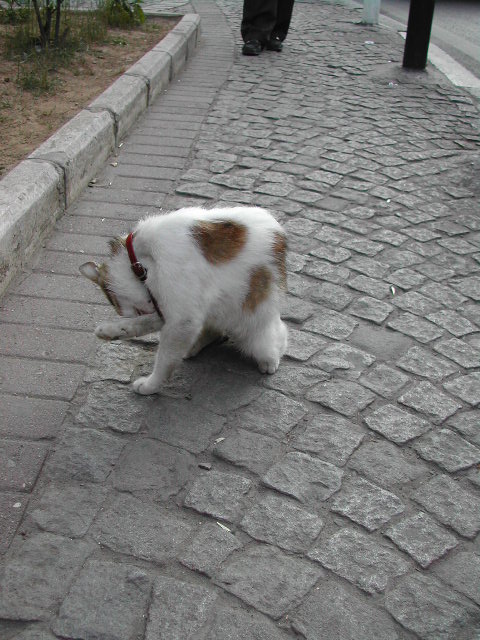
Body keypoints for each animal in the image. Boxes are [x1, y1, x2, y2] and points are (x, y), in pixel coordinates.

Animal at [80, 205, 286, 396]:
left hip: (251, 315)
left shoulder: (182, 317)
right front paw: (112, 330)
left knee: (276, 335)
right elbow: (142, 324)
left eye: (137, 310)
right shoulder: (170, 310)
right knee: (214, 328)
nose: (149, 310)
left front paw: (151, 385)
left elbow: (165, 359)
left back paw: (270, 358)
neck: (143, 262)